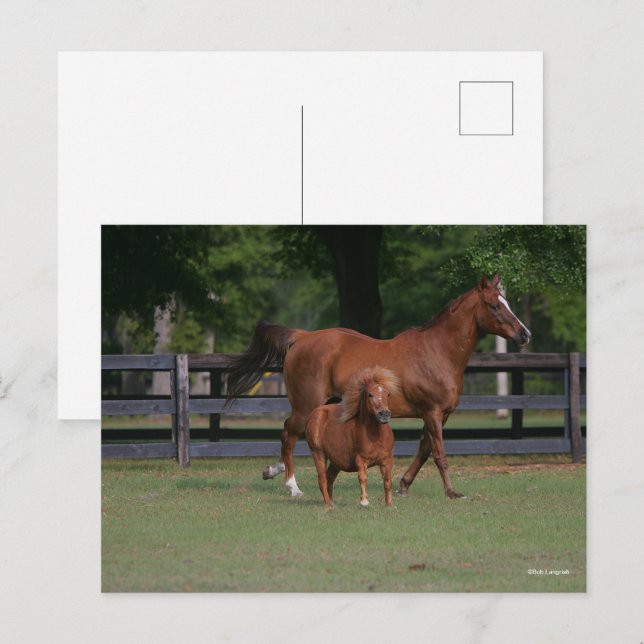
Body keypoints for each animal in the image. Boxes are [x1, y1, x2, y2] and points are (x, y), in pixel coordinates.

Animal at [306, 366, 400, 510]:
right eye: (370, 394)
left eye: (387, 394)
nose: (384, 414)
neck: (376, 437)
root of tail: (315, 413)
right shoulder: (361, 459)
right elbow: (363, 477)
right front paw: (364, 501)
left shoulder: (387, 460)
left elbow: (387, 481)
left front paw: (389, 504)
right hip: (318, 453)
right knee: (322, 478)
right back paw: (328, 505)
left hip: (336, 461)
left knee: (329, 477)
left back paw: (332, 503)